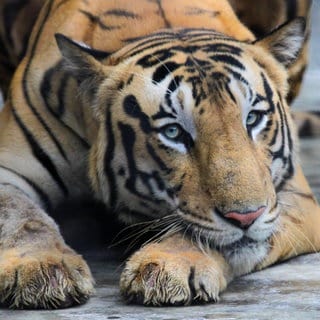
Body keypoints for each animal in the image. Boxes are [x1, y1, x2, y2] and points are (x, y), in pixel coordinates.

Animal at [0, 0, 320, 310]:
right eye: (174, 132)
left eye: (252, 118)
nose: (246, 217)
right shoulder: (9, 170)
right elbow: (21, 216)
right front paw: (41, 268)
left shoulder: (293, 192)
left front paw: (168, 267)